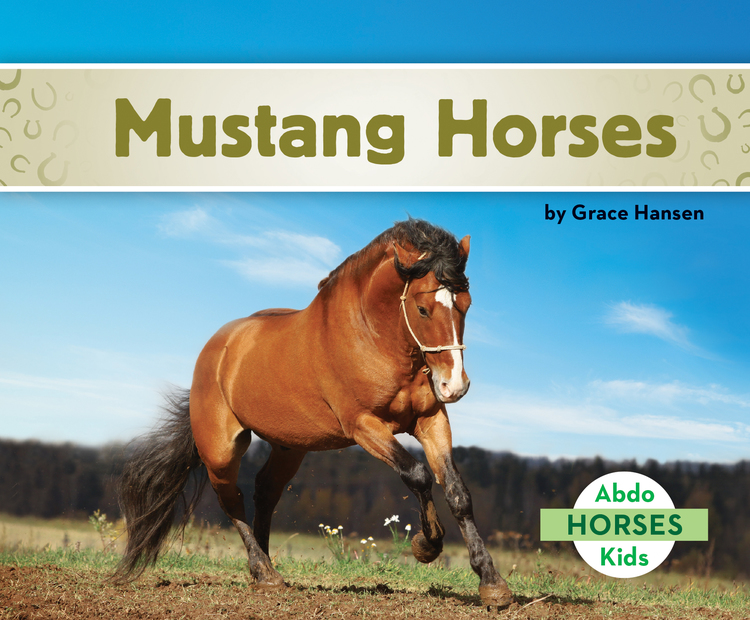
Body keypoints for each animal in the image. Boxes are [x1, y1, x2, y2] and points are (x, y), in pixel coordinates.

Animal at [113, 218, 513, 607]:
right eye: (422, 308)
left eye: (466, 304)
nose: (455, 386)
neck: (373, 336)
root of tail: (216, 348)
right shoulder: (364, 426)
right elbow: (416, 474)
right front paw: (426, 546)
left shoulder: (431, 421)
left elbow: (458, 493)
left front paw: (492, 584)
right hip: (221, 449)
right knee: (231, 499)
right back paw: (264, 573)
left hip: (289, 447)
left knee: (264, 491)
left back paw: (266, 566)